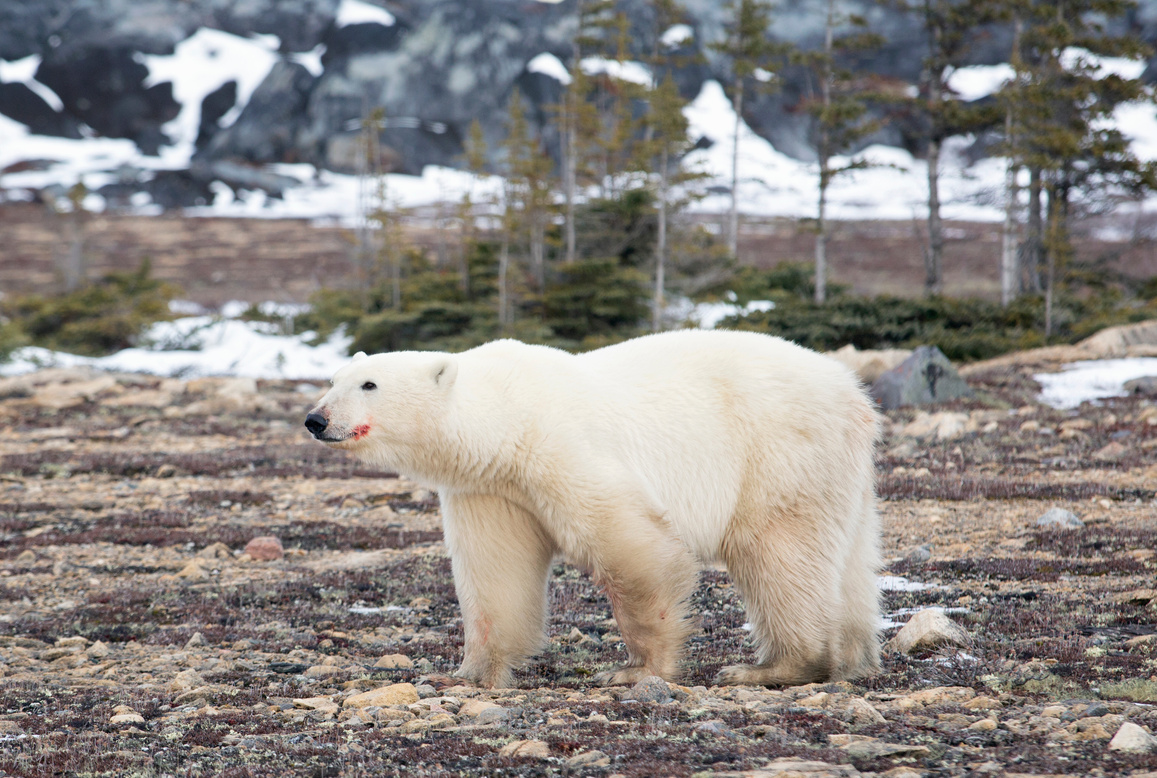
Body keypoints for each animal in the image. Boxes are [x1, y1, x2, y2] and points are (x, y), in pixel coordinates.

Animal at [303, 328, 879, 685]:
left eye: (369, 383)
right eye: (331, 380)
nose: (316, 419)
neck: (503, 418)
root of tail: (854, 393)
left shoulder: (559, 448)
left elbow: (631, 546)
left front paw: (637, 669)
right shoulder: (490, 488)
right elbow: (494, 572)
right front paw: (468, 671)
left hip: (778, 452)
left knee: (778, 554)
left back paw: (774, 667)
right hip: (841, 475)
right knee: (846, 561)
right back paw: (852, 655)